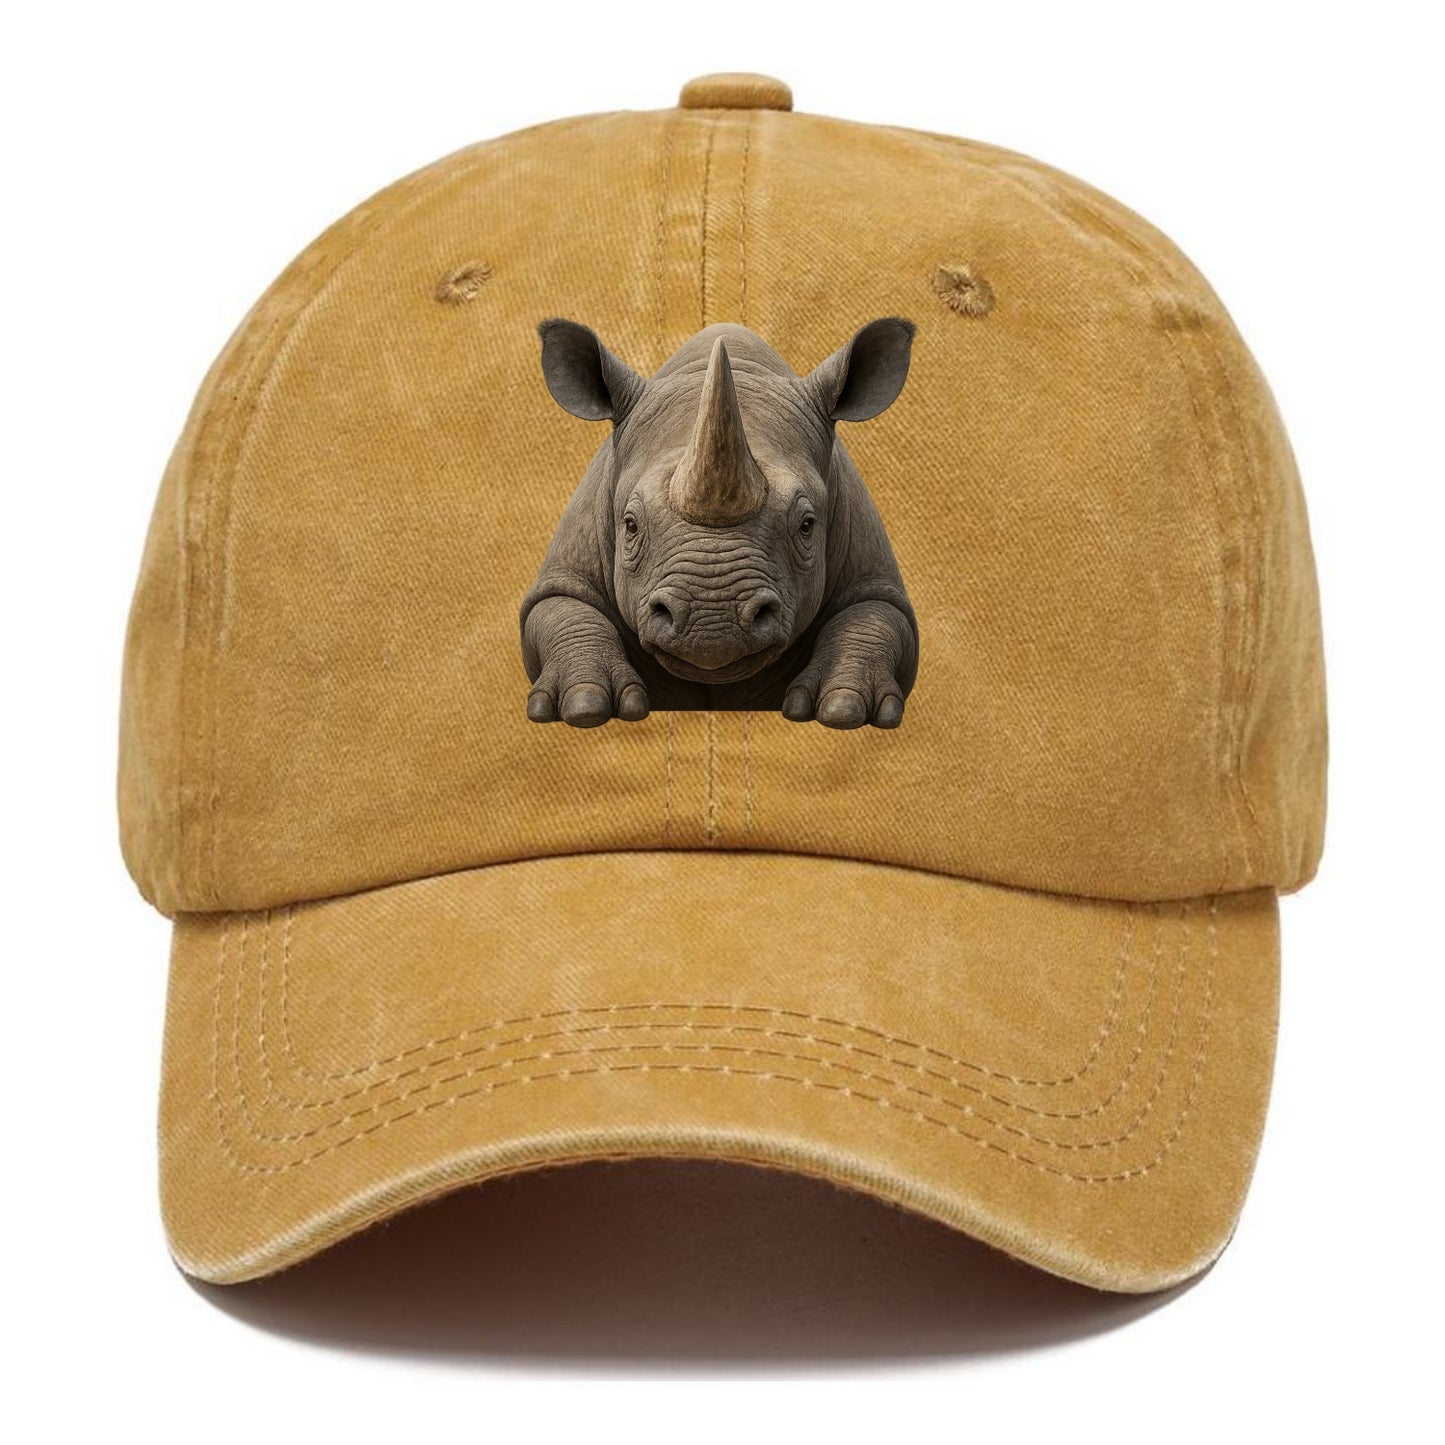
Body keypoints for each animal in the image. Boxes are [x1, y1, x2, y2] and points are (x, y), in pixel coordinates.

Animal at [521, 317, 919, 729]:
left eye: (807, 525)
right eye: (630, 525)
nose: (712, 623)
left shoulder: (870, 570)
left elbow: (874, 615)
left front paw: (844, 709)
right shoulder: (566, 571)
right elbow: (562, 608)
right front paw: (584, 706)